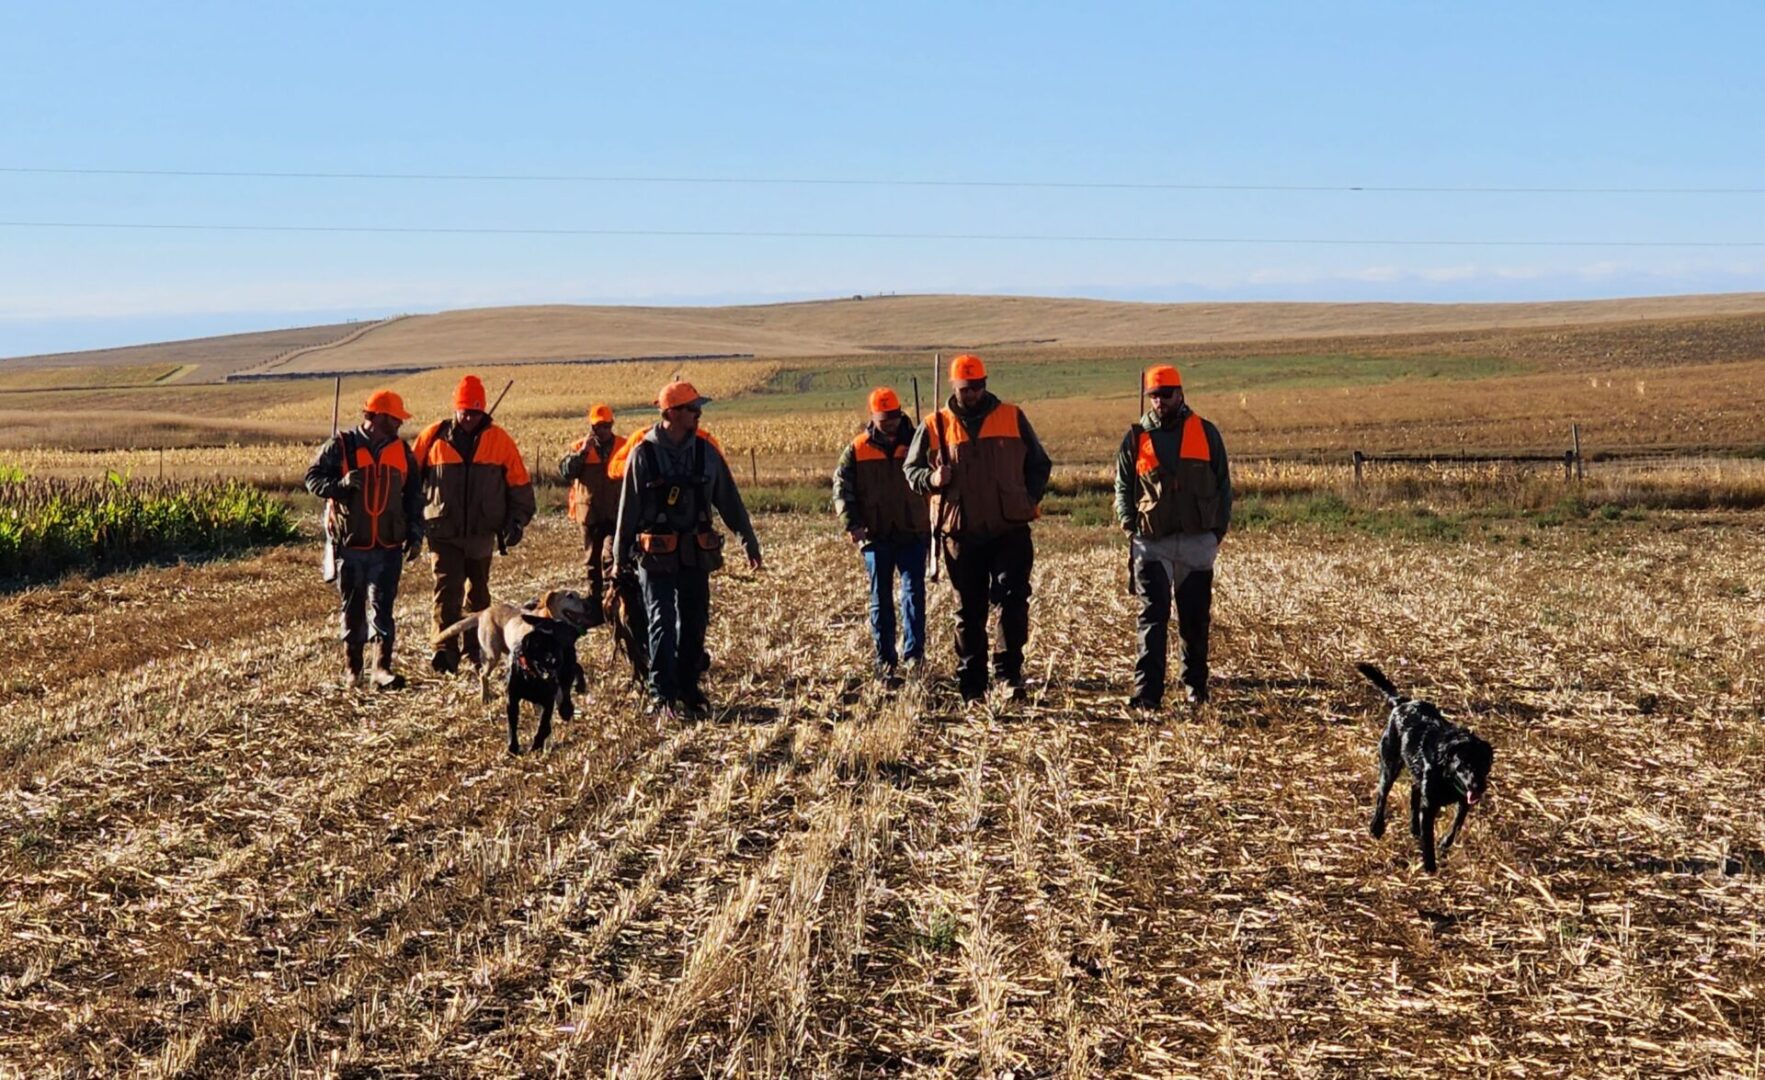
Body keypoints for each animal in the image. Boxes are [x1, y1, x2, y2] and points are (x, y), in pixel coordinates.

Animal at [430, 585, 596, 705]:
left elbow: (576, 668)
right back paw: (485, 697)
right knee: (483, 674)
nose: (588, 605)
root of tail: (483, 612)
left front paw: (580, 687)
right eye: (569, 596)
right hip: (492, 654)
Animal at [1362, 663, 1489, 871]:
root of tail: (1402, 703)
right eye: (1463, 765)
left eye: (1484, 764)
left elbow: (1457, 824)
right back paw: (1377, 827)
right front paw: (1430, 866)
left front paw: (1445, 842)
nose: (1478, 786)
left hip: (1415, 776)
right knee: (1382, 795)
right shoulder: (1430, 807)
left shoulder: (1463, 800)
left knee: (1413, 797)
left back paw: (1414, 828)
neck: (1447, 775)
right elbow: (1428, 838)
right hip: (1390, 765)